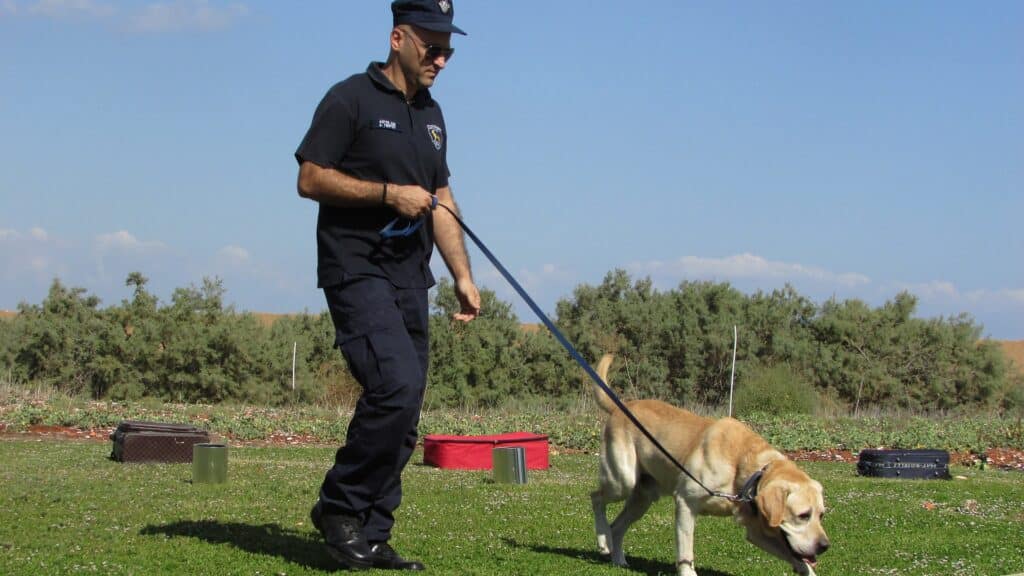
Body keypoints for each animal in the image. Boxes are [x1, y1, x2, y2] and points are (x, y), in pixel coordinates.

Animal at [589, 352, 827, 569]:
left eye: (821, 515)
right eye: (803, 515)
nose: (825, 546)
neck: (743, 467)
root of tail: (620, 406)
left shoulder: (756, 530)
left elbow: (802, 562)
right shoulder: (685, 503)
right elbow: (686, 554)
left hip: (643, 497)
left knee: (617, 526)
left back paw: (618, 558)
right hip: (622, 481)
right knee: (596, 497)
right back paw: (602, 540)